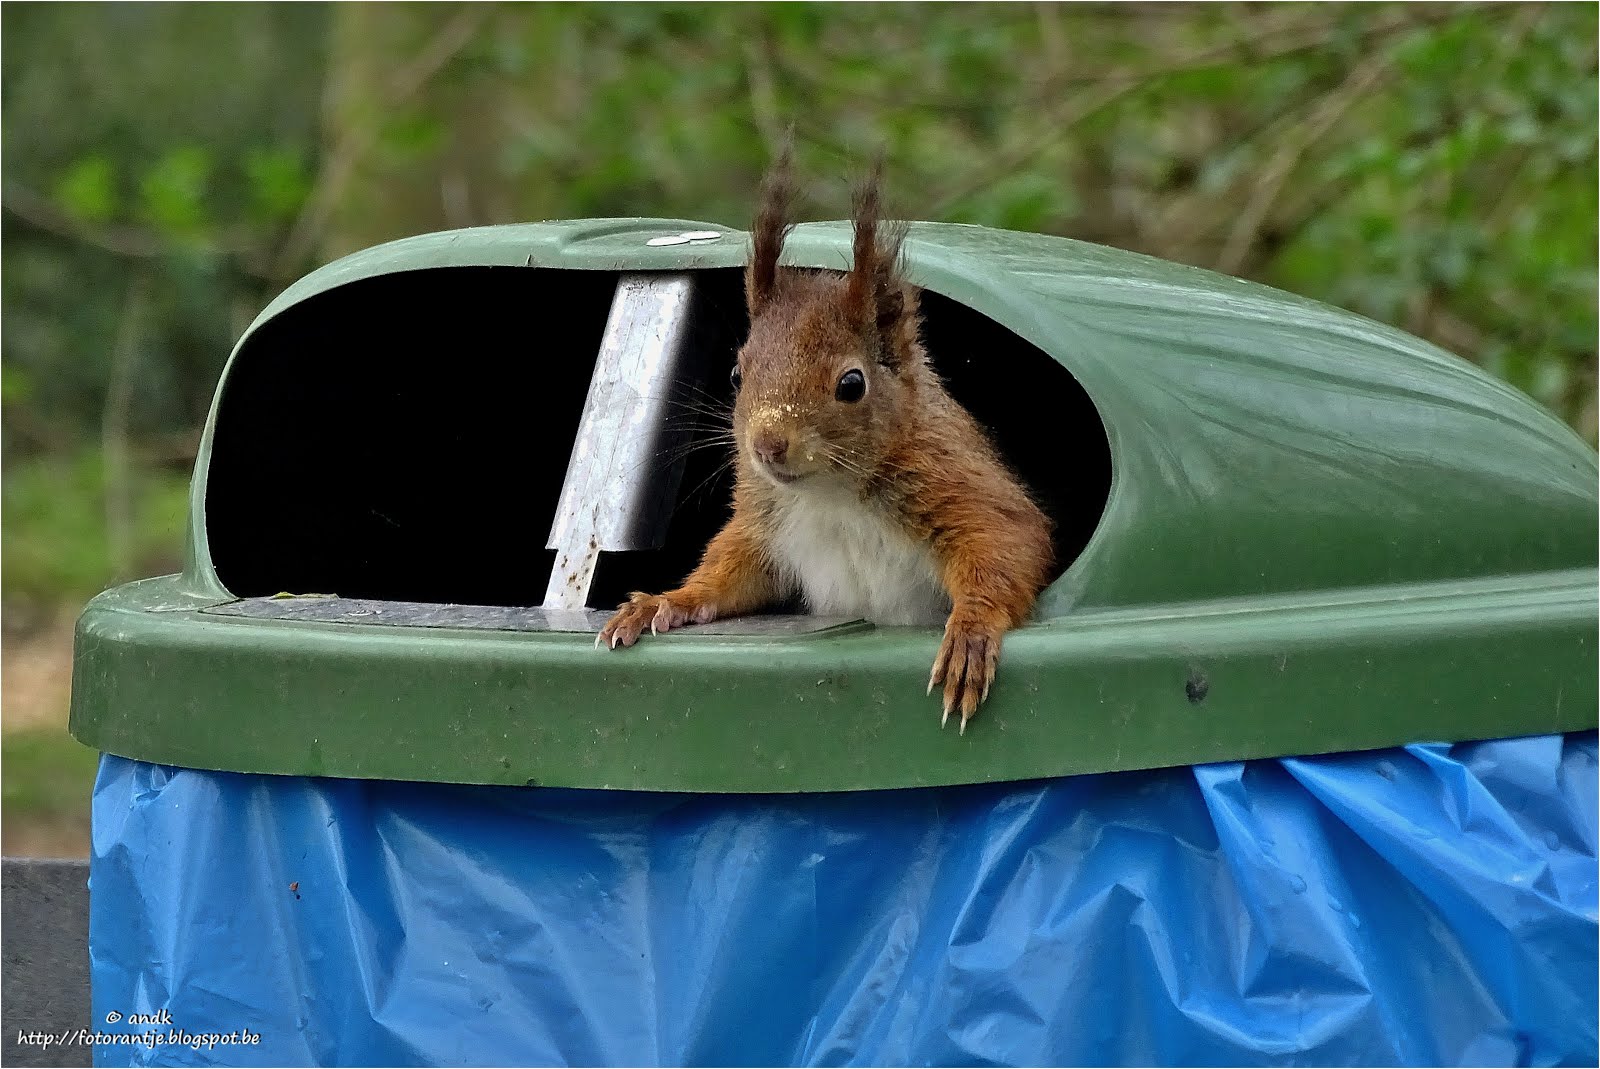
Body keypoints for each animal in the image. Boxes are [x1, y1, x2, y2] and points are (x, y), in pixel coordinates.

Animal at [595, 148, 1056, 736]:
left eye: (851, 384)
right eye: (736, 373)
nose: (767, 445)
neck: (830, 493)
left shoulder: (956, 482)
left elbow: (1005, 542)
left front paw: (971, 632)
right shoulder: (765, 525)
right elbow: (731, 574)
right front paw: (663, 601)